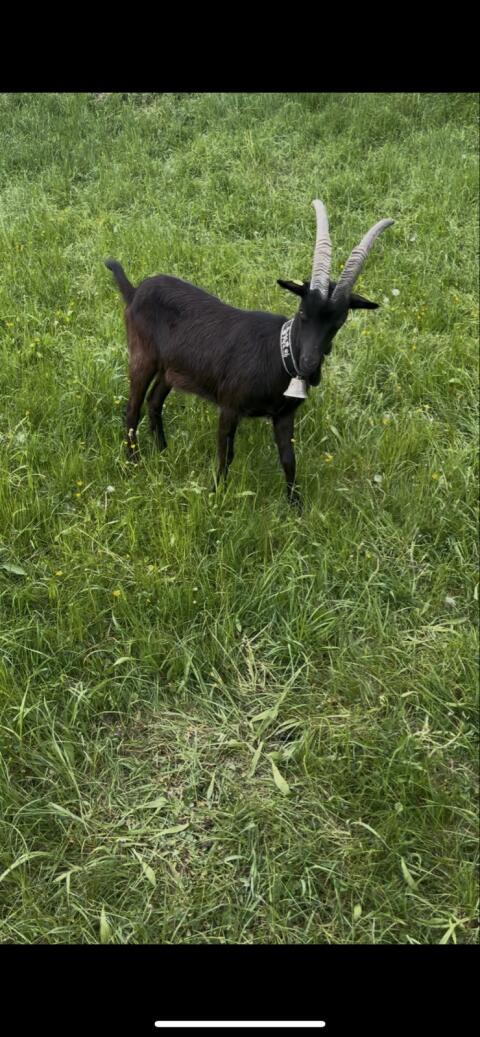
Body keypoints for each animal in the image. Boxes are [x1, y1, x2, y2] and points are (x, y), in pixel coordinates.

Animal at [105, 201, 394, 506]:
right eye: (303, 312)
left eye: (338, 322)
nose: (308, 364)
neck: (279, 356)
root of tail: (135, 291)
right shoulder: (230, 405)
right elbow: (226, 455)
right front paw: (216, 495)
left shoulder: (284, 415)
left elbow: (289, 459)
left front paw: (295, 505)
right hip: (143, 356)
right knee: (132, 409)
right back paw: (134, 462)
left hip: (172, 368)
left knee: (154, 401)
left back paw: (163, 451)